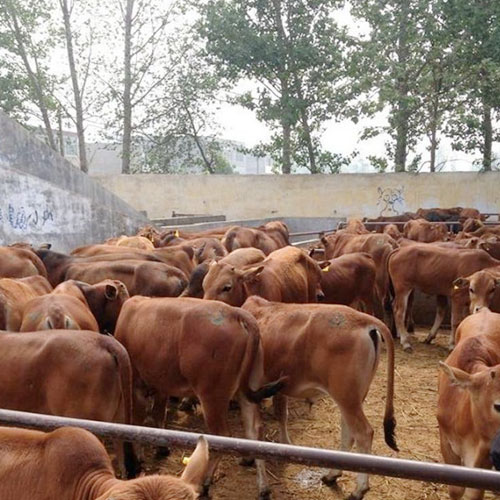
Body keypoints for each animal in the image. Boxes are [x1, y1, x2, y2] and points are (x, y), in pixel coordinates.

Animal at [114, 296, 286, 496]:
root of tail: (235, 313)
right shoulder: (161, 385)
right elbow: (157, 414)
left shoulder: (138, 385)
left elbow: (138, 421)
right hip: (247, 391)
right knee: (255, 432)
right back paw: (263, 486)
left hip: (211, 396)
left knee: (222, 436)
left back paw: (205, 483)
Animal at [242, 296, 398, 500]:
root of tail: (364, 320)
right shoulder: (277, 389)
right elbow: (280, 415)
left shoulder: (249, 392)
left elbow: (254, 431)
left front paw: (261, 483)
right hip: (353, 397)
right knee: (348, 432)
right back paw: (332, 475)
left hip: (346, 396)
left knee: (363, 433)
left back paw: (359, 490)